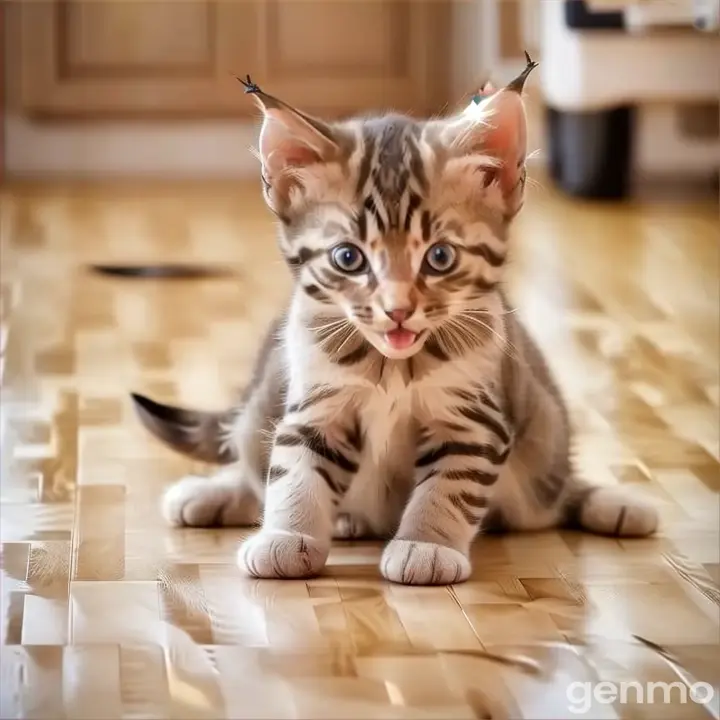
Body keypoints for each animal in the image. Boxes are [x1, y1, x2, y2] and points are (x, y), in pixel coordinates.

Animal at [131, 57, 660, 584]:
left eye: (440, 257)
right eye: (348, 258)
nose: (398, 308)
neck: (391, 367)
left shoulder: (474, 420)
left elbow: (448, 488)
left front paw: (427, 545)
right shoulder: (316, 405)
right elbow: (293, 474)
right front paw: (288, 534)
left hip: (543, 435)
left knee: (554, 494)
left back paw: (611, 504)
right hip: (266, 395)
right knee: (251, 458)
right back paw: (219, 495)